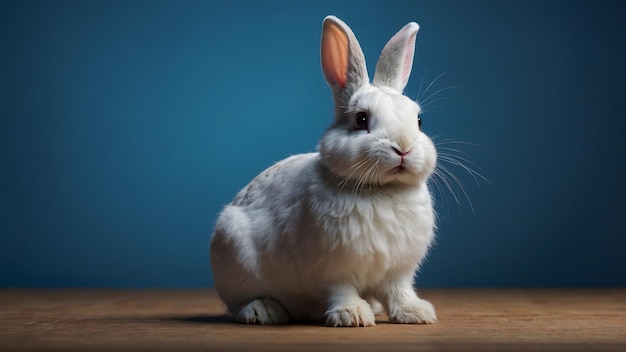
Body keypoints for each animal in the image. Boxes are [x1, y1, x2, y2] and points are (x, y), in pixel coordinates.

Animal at [210, 15, 434, 326]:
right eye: (361, 119)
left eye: (419, 121)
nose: (403, 148)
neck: (381, 190)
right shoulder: (333, 267)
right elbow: (341, 289)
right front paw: (352, 315)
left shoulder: (398, 270)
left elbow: (399, 291)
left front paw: (417, 313)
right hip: (235, 257)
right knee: (238, 304)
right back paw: (263, 311)